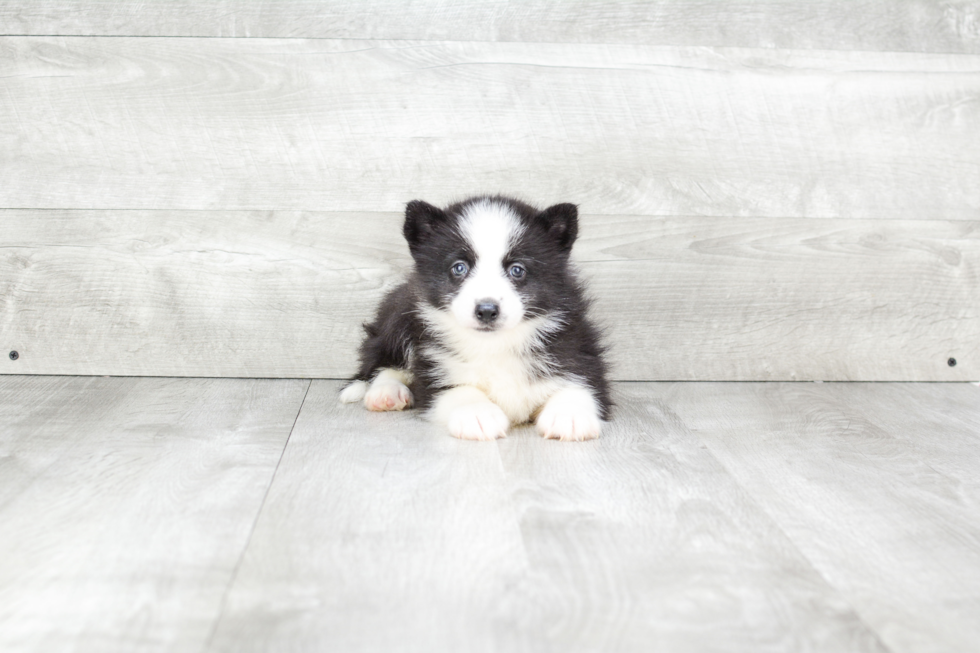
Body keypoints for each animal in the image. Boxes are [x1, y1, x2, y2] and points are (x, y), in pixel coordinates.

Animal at [340, 194, 608, 438]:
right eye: (459, 268)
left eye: (517, 270)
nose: (487, 310)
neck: (494, 345)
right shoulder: (432, 369)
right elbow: (455, 388)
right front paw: (477, 413)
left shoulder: (577, 346)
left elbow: (579, 383)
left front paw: (570, 415)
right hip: (399, 310)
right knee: (382, 360)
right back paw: (386, 392)